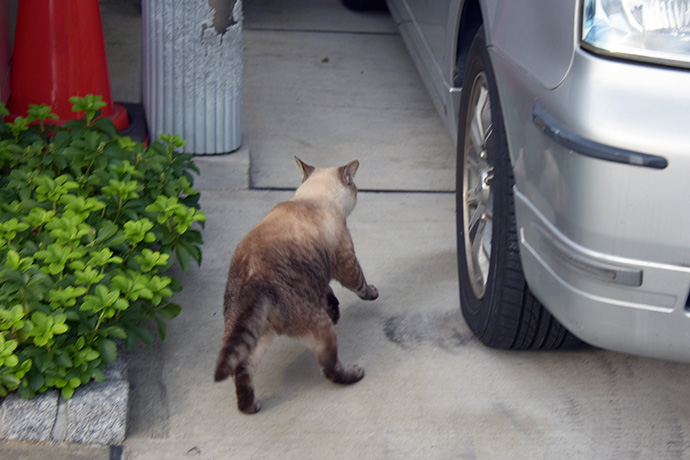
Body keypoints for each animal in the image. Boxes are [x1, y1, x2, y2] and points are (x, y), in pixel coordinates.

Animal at [214, 157, 378, 414]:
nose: (358, 191)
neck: (312, 199)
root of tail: (254, 279)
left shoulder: (319, 277)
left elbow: (329, 292)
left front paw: (335, 309)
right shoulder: (347, 263)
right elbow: (360, 284)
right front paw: (371, 293)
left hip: (256, 335)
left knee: (241, 369)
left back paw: (251, 407)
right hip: (320, 329)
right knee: (330, 369)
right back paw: (355, 374)